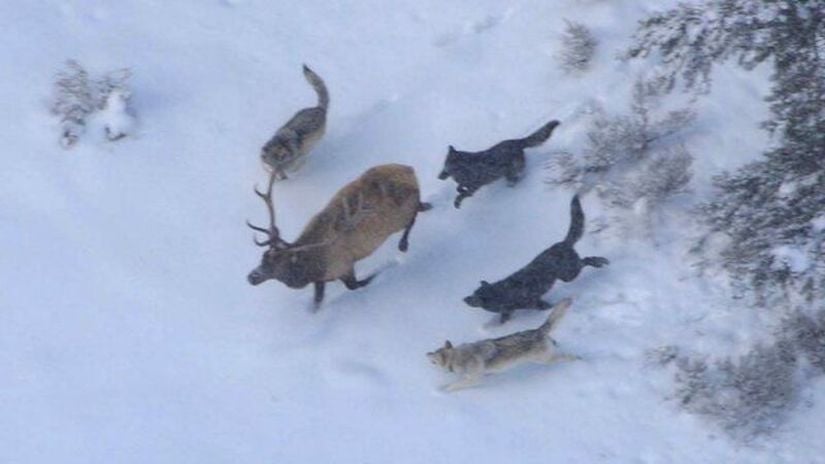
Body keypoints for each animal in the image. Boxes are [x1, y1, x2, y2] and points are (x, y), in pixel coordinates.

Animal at [246, 163, 432, 308]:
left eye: (278, 263)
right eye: (263, 257)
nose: (251, 277)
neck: (311, 267)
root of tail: (409, 169)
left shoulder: (344, 266)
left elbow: (356, 285)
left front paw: (384, 268)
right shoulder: (321, 280)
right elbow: (317, 301)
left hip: (400, 216)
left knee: (412, 218)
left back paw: (403, 244)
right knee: (421, 207)